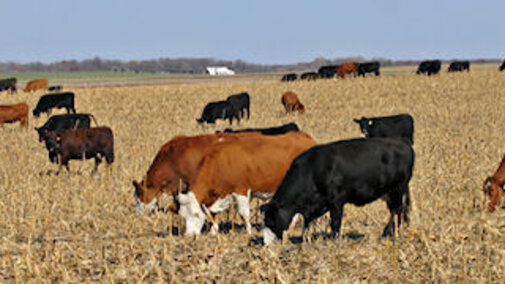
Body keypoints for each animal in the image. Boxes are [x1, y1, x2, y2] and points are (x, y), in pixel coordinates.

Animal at [174, 132, 316, 236]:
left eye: (196, 214)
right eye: (183, 216)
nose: (189, 235)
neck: (222, 159)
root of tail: (306, 137)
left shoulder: (241, 190)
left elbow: (243, 213)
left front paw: (249, 231)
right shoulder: (221, 194)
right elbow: (215, 213)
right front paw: (213, 231)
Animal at [260, 138, 414, 244]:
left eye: (271, 221)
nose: (266, 244)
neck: (312, 170)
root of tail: (404, 144)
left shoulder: (336, 201)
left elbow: (335, 223)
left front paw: (335, 241)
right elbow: (307, 223)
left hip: (397, 190)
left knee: (396, 211)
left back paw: (391, 234)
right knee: (396, 211)